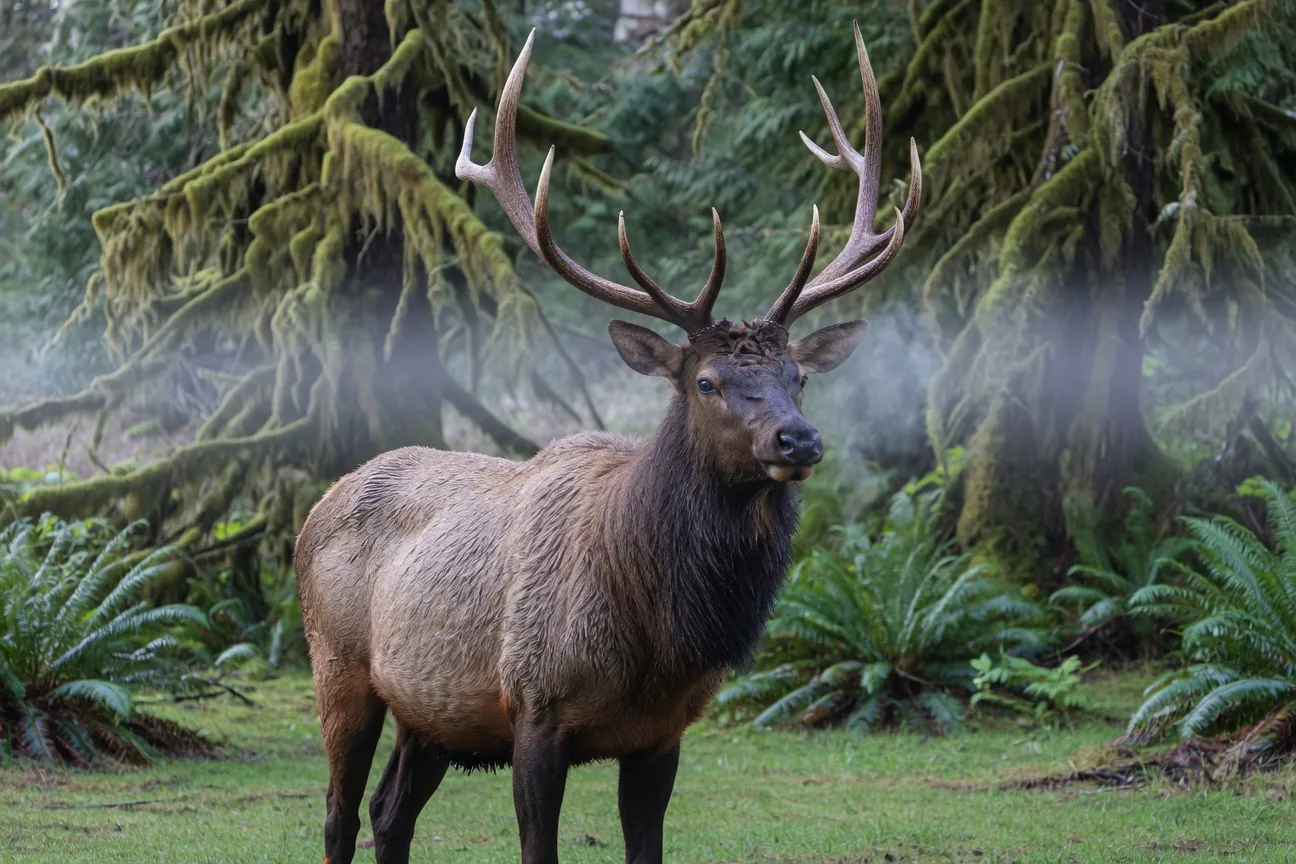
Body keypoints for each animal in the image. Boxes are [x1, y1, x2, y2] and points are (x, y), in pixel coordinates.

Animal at [295, 22, 920, 864]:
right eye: (706, 381)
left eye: (799, 375)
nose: (799, 438)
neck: (657, 634)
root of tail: (316, 508)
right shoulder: (534, 707)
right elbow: (538, 848)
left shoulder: (661, 735)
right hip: (338, 667)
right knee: (337, 813)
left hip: (430, 708)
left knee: (390, 812)